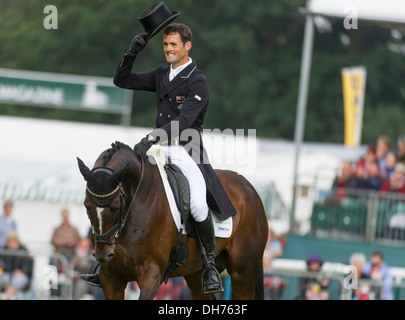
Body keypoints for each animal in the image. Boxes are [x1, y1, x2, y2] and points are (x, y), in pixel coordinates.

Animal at [77, 141, 270, 298]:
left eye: (116, 207)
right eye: (87, 206)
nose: (103, 255)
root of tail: (249, 188)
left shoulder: (151, 273)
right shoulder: (111, 278)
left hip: (243, 273)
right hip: (195, 274)